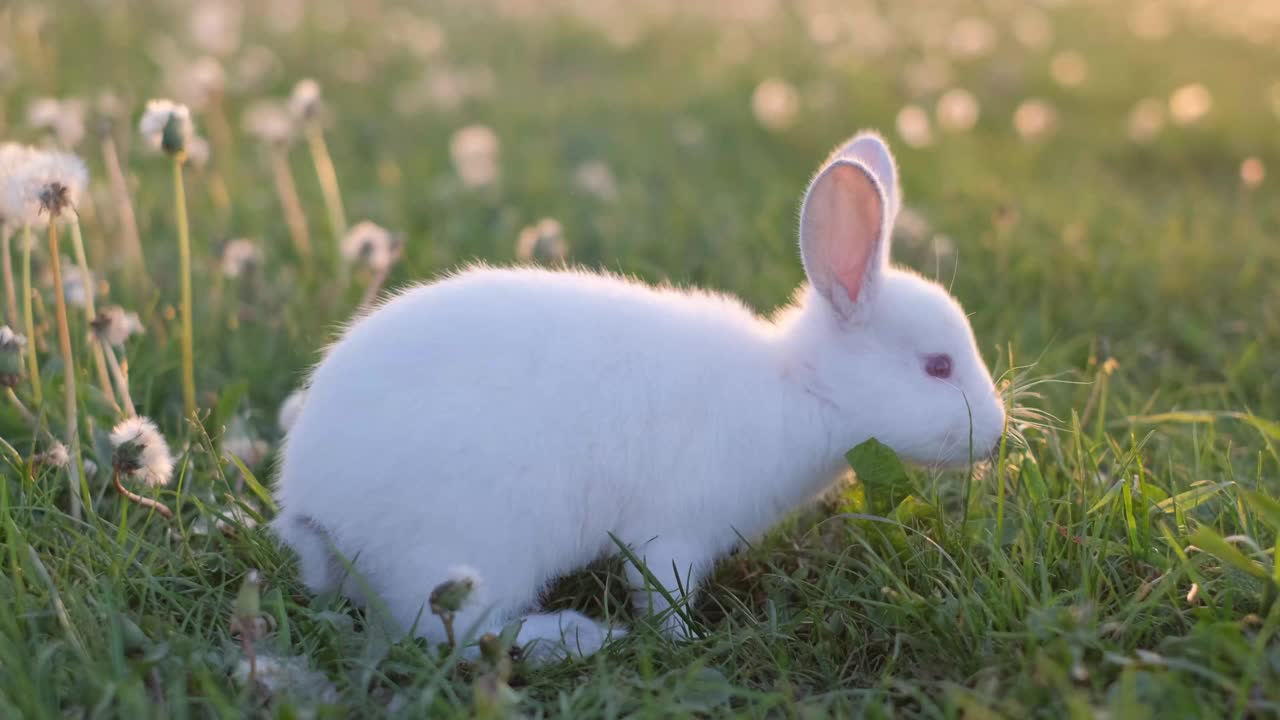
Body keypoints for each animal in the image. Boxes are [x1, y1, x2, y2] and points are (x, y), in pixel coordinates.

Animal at [272, 131, 1008, 661]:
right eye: (938, 366)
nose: (999, 433)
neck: (801, 387)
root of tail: (316, 512)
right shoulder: (672, 534)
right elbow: (663, 594)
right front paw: (689, 642)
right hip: (472, 551)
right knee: (458, 631)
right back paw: (581, 638)